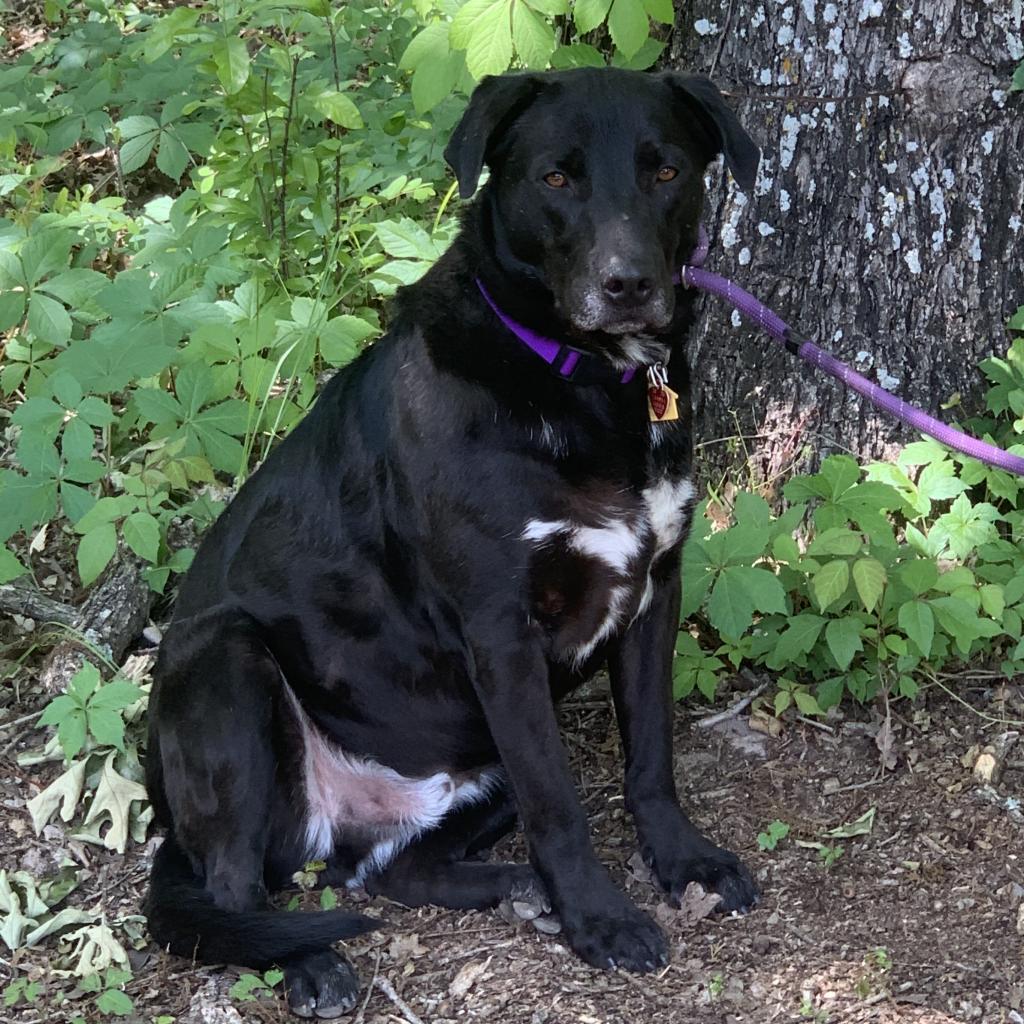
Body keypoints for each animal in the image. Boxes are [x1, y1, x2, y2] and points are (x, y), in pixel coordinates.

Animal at [148, 66, 765, 1015]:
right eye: (556, 177)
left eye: (665, 170)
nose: (627, 283)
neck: (578, 379)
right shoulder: (501, 636)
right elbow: (562, 806)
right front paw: (599, 919)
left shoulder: (654, 590)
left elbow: (652, 759)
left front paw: (682, 862)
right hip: (229, 668)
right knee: (233, 889)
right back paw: (313, 963)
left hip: (473, 763)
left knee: (394, 872)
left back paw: (511, 887)